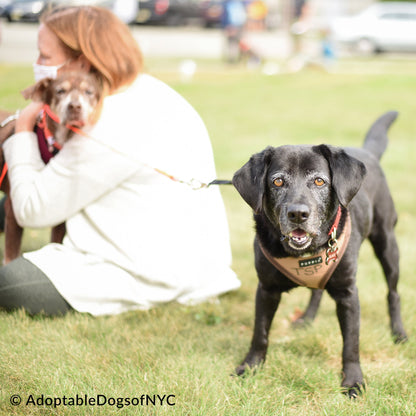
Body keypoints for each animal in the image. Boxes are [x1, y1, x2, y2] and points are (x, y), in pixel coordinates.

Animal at [0, 71, 103, 264]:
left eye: (89, 92)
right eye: (60, 91)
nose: (75, 107)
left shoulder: (62, 214)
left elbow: (57, 242)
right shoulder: (14, 208)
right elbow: (11, 255)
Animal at [232, 112, 408, 398]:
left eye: (319, 181)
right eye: (277, 181)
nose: (298, 214)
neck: (304, 252)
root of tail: (367, 153)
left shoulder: (348, 294)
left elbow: (351, 343)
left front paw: (354, 381)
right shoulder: (266, 289)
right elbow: (260, 332)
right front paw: (250, 366)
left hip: (387, 244)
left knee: (393, 292)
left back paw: (399, 332)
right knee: (317, 290)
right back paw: (306, 318)